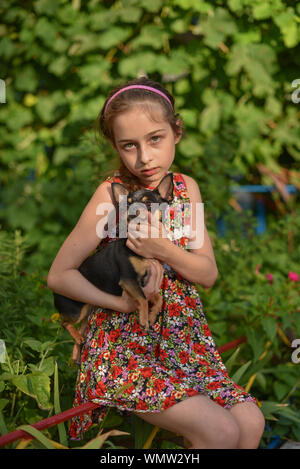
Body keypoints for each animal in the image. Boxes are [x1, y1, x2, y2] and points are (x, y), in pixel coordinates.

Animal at [52, 172, 173, 362]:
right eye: (127, 203)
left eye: (148, 203)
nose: (131, 211)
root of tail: (54, 293)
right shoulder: (129, 280)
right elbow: (143, 299)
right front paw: (144, 319)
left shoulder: (146, 282)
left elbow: (158, 298)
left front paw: (152, 315)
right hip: (76, 309)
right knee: (65, 322)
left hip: (87, 308)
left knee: (80, 329)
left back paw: (77, 350)